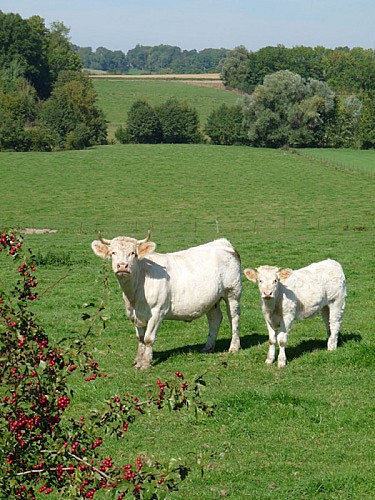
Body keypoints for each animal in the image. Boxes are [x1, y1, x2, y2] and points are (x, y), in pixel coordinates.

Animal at [92, 232, 242, 370]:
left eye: (133, 253)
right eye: (113, 252)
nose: (122, 266)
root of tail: (222, 243)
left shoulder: (157, 311)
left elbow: (148, 338)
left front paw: (146, 363)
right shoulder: (133, 314)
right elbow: (140, 339)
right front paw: (138, 360)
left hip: (233, 293)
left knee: (233, 318)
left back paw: (234, 347)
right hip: (212, 300)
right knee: (215, 319)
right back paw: (208, 347)